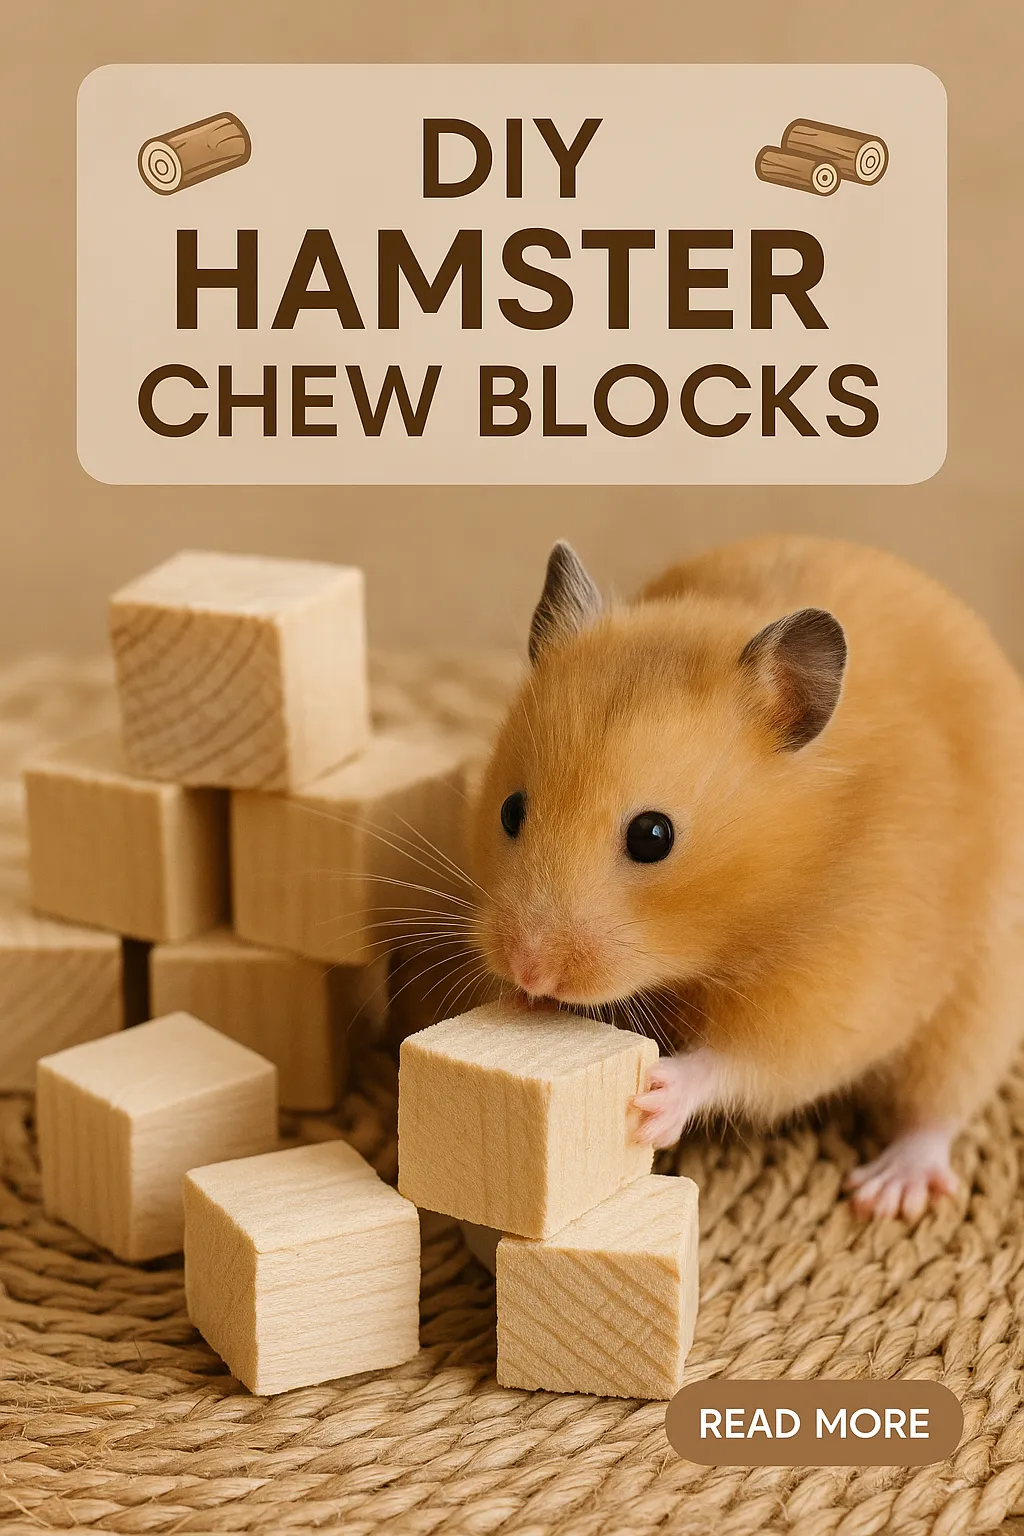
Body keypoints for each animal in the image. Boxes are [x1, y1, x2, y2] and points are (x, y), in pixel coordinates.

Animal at [468, 535, 1024, 1221]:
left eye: (653, 836)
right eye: (510, 810)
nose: (527, 971)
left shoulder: (842, 982)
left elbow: (747, 1060)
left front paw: (656, 1095)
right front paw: (524, 1003)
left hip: (985, 996)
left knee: (939, 1106)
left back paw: (888, 1191)